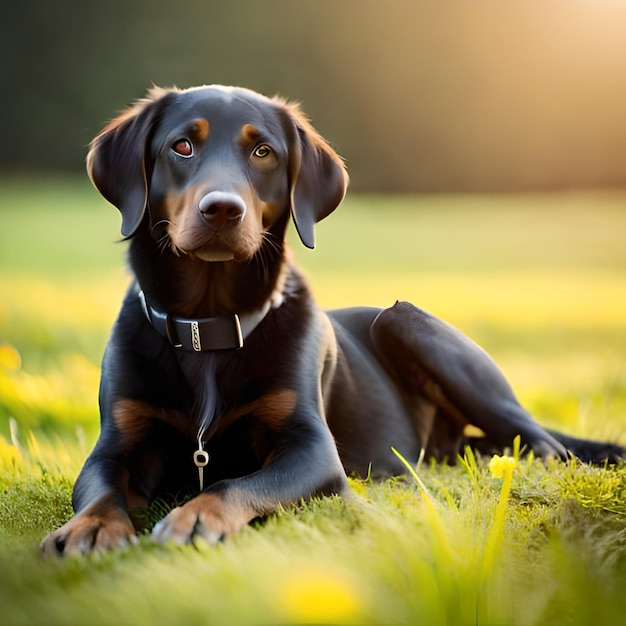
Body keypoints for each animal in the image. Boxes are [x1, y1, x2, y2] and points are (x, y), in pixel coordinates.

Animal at [41, 84, 620, 556]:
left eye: (263, 151)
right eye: (181, 146)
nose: (222, 209)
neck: (209, 327)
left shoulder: (312, 449)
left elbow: (235, 484)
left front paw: (196, 517)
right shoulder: (115, 442)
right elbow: (100, 489)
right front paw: (91, 528)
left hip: (411, 325)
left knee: (539, 443)